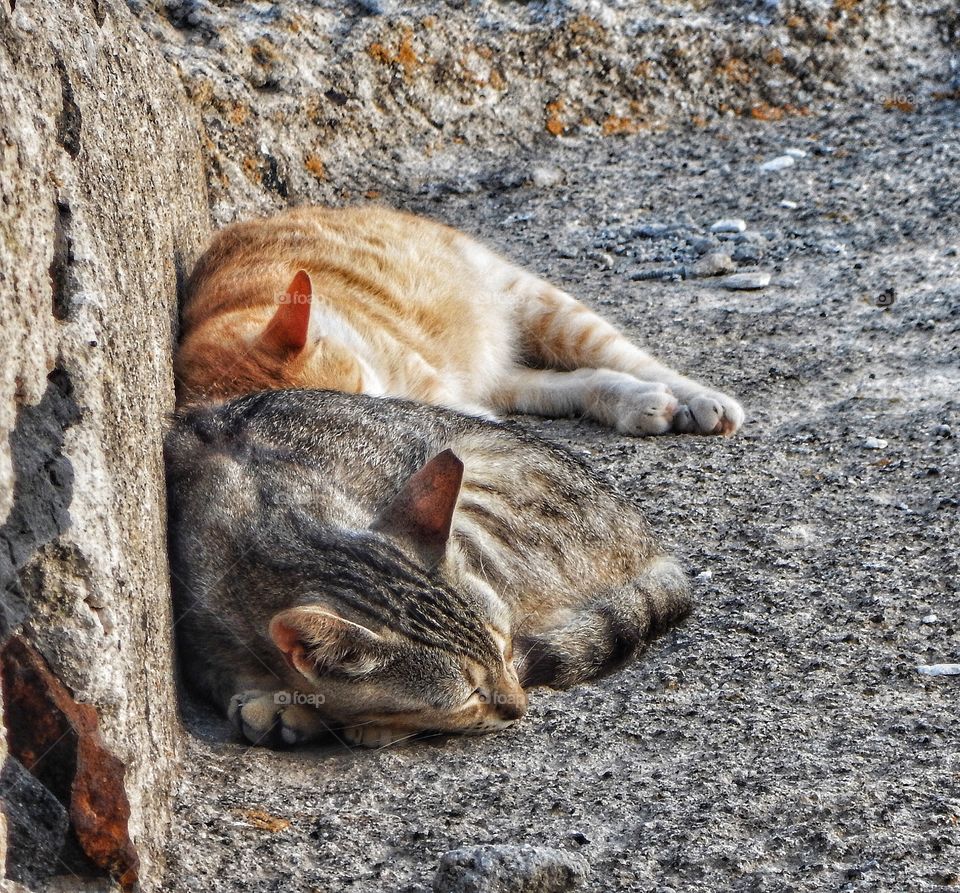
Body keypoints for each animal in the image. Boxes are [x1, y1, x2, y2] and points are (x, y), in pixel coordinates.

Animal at [165, 390, 688, 744]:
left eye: (505, 650)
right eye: (467, 696)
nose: (519, 709)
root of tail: (649, 541)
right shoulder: (195, 616)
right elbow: (216, 664)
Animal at [176, 206, 748, 436]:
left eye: (359, 386)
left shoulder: (433, 387)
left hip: (545, 309)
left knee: (633, 360)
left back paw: (701, 402)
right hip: (505, 377)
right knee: (585, 380)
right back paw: (636, 404)